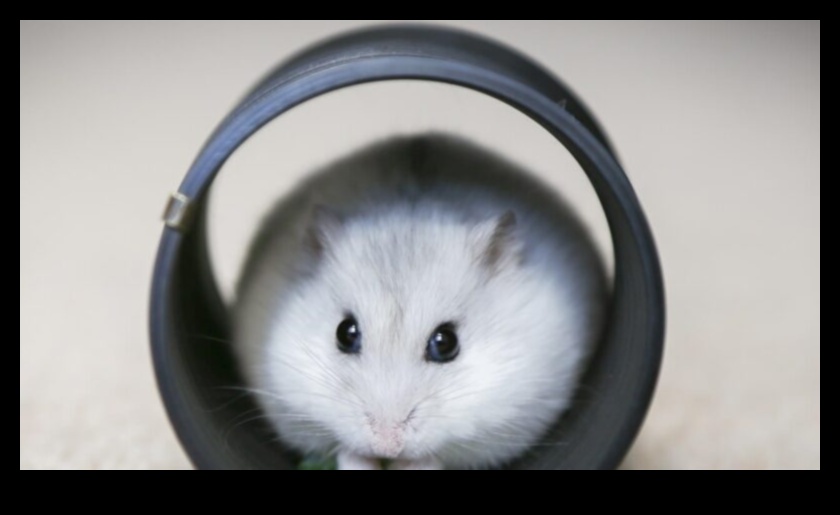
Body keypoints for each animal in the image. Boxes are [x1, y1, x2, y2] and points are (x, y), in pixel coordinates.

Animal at [233, 134, 607, 470]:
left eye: (446, 343)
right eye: (344, 333)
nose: (387, 443)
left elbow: (438, 456)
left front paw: (407, 464)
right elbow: (345, 450)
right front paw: (365, 461)